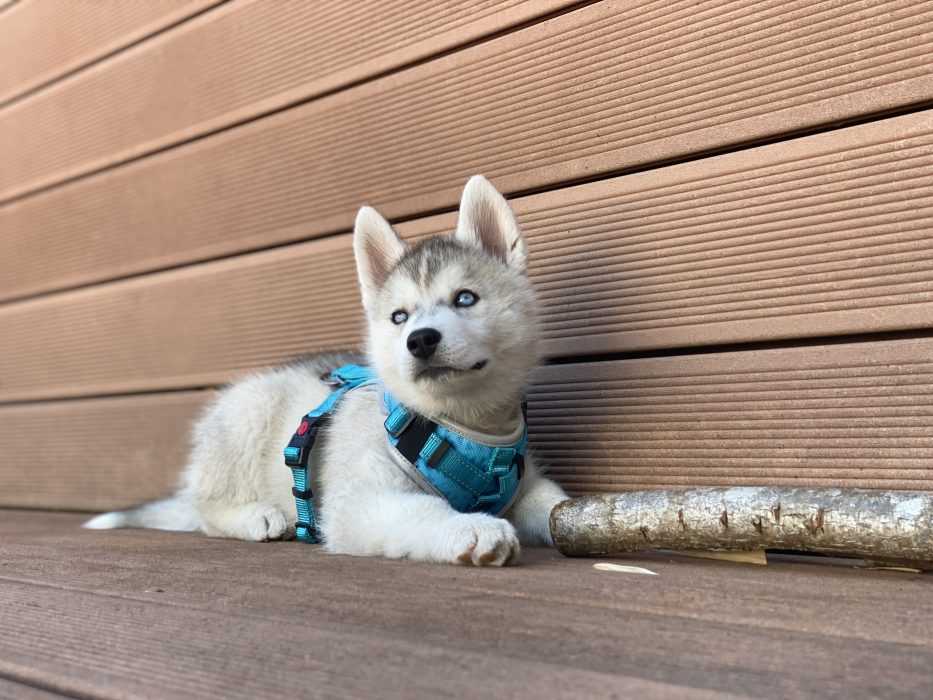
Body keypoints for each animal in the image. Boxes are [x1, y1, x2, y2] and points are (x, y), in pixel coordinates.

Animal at [85, 178, 568, 568]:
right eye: (399, 317)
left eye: (465, 298)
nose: (420, 340)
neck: (460, 425)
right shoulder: (360, 501)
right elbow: (421, 511)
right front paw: (471, 527)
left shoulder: (524, 483)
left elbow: (552, 501)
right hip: (246, 414)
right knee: (207, 510)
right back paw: (254, 515)